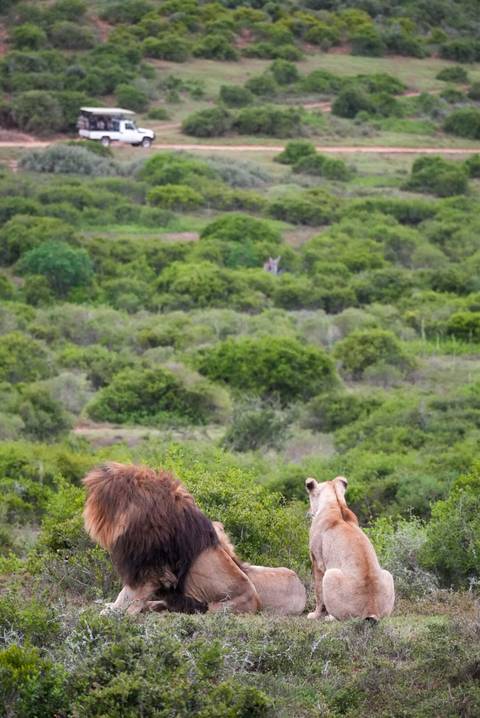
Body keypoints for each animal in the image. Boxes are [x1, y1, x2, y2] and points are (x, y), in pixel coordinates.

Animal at [306, 476, 395, 622]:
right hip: (388, 574)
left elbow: (318, 591)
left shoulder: (316, 560)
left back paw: (329, 617)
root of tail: (371, 609)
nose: (308, 512)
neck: (336, 503)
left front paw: (315, 614)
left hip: (330, 574)